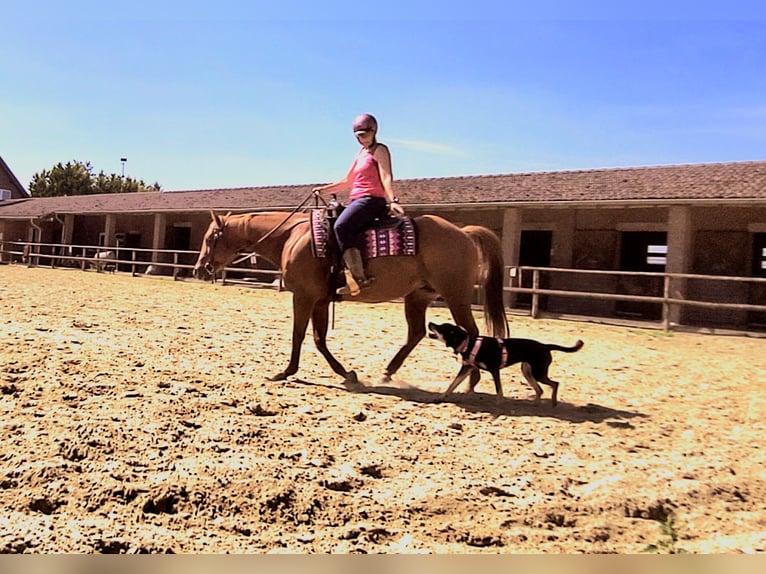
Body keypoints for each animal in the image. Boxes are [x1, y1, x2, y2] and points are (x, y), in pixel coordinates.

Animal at [193, 209, 508, 387]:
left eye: (209, 238)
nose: (199, 268)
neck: (293, 236)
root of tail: (463, 232)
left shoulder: (304, 296)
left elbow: (298, 335)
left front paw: (285, 372)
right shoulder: (320, 300)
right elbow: (319, 339)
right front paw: (347, 374)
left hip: (456, 297)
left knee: (472, 333)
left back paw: (471, 379)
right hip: (418, 296)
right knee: (416, 333)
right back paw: (387, 373)